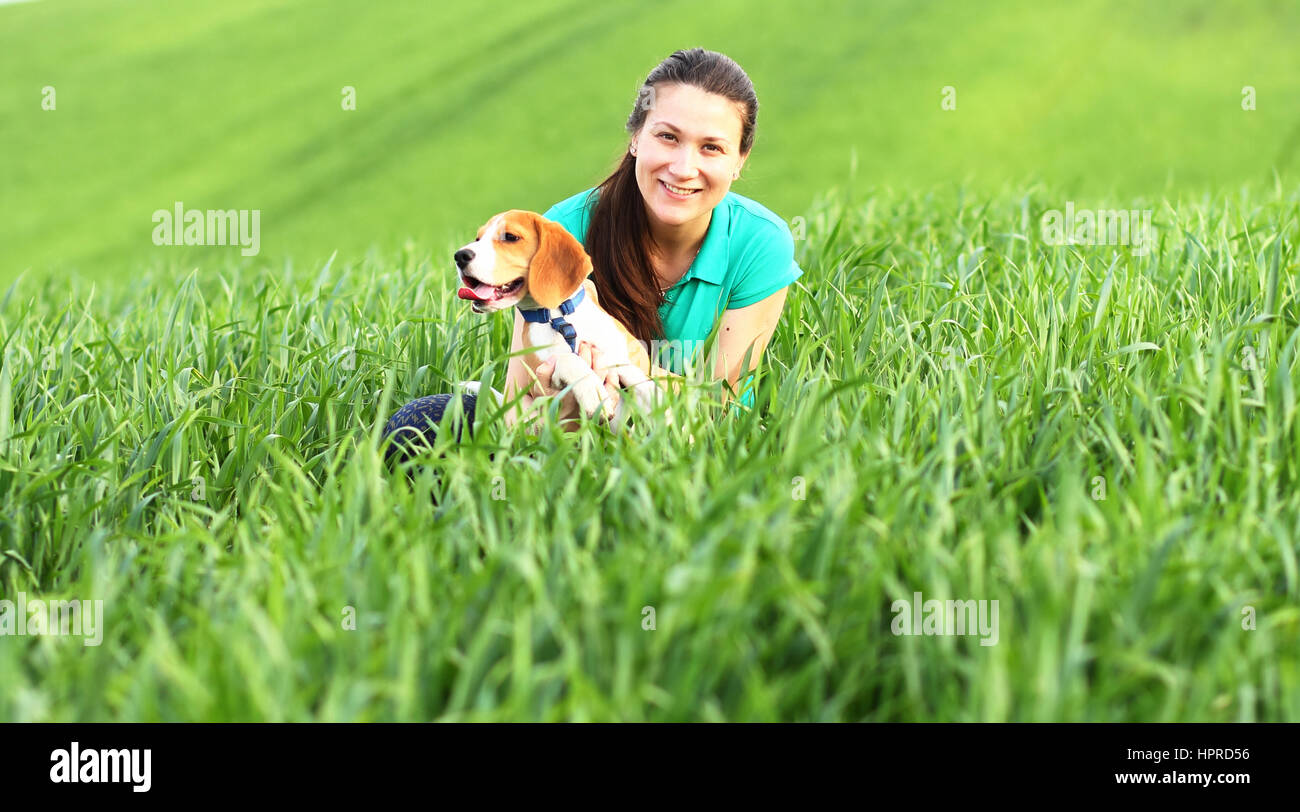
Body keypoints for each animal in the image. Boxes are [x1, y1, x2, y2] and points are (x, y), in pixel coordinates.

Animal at [452, 209, 665, 423]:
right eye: (478, 238)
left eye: (510, 237)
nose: (460, 255)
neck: (558, 317)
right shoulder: (540, 379)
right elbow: (568, 360)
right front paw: (593, 393)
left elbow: (640, 376)